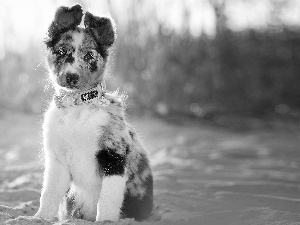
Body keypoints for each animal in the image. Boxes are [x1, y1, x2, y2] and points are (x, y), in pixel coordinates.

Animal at [34, 4, 154, 222]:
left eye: (89, 56)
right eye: (61, 51)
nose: (71, 77)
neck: (77, 109)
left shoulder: (114, 158)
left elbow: (108, 201)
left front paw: (105, 221)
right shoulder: (57, 162)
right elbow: (48, 195)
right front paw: (39, 218)